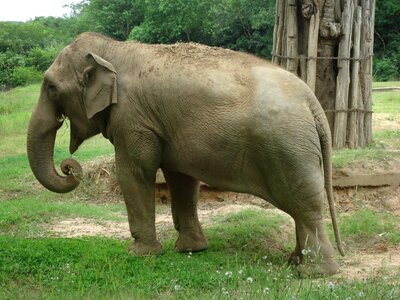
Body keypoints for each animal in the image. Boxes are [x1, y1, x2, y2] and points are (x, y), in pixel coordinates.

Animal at [26, 32, 344, 274]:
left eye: (51, 88)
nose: (69, 167)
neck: (113, 49)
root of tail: (312, 101)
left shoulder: (134, 120)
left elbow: (134, 172)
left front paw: (139, 254)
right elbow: (180, 179)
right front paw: (191, 250)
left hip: (289, 149)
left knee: (306, 207)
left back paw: (314, 273)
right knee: (301, 208)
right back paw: (296, 262)